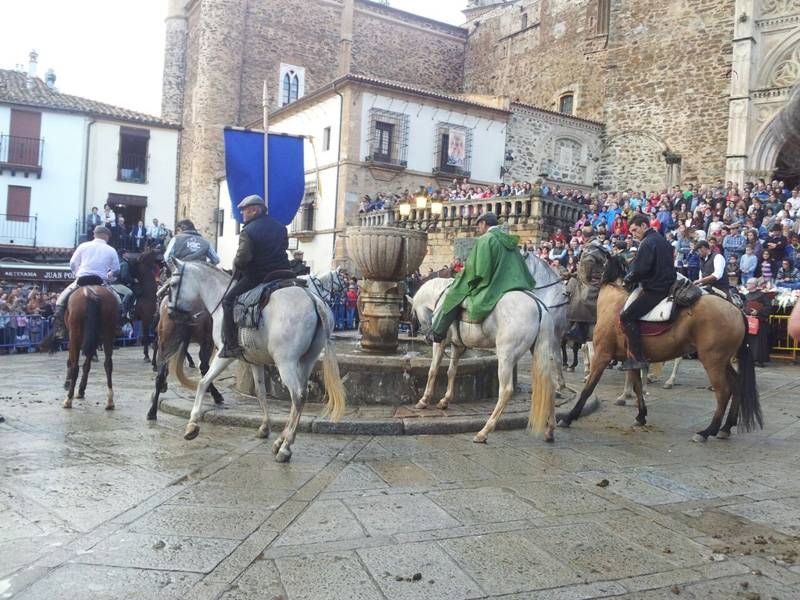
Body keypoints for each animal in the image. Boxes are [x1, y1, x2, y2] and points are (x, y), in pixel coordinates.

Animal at [167, 260, 346, 462]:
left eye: (173, 284)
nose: (170, 313)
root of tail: (314, 300)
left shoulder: (224, 355)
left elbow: (203, 382)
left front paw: (192, 424)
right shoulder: (254, 361)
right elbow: (261, 393)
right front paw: (265, 427)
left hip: (286, 363)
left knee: (298, 396)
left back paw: (285, 447)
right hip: (307, 361)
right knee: (300, 396)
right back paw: (281, 441)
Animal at [410, 278, 552, 442]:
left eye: (415, 315)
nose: (427, 337)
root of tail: (538, 305)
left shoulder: (440, 343)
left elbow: (433, 370)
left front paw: (424, 400)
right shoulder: (457, 346)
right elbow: (451, 371)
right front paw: (445, 400)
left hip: (506, 357)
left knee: (505, 391)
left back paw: (484, 431)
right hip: (540, 352)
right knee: (550, 386)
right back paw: (550, 430)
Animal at [556, 253, 764, 440]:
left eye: (583, 258)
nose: (566, 279)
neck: (612, 301)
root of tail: (736, 310)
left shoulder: (602, 355)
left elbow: (588, 388)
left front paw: (569, 417)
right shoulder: (631, 358)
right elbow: (637, 386)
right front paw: (640, 416)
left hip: (712, 361)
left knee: (723, 392)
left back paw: (707, 431)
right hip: (722, 361)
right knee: (736, 386)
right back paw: (726, 428)